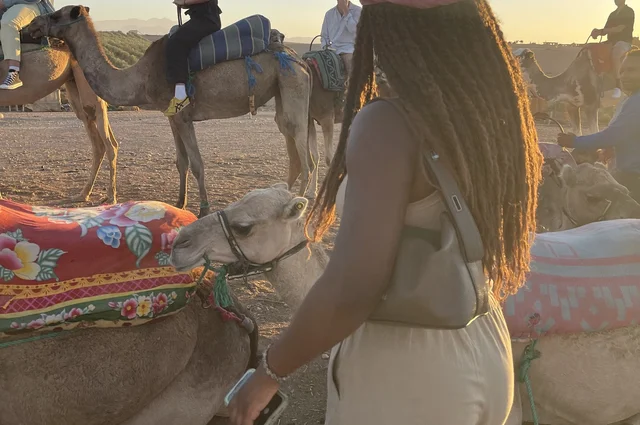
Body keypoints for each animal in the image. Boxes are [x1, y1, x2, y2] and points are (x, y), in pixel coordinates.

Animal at [27, 6, 314, 218]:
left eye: (56, 14)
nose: (32, 25)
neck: (140, 78)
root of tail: (296, 57)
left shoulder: (184, 116)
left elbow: (197, 163)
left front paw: (203, 209)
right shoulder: (172, 116)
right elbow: (181, 162)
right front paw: (179, 204)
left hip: (292, 85)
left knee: (306, 157)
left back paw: (300, 209)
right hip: (282, 93)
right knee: (293, 150)